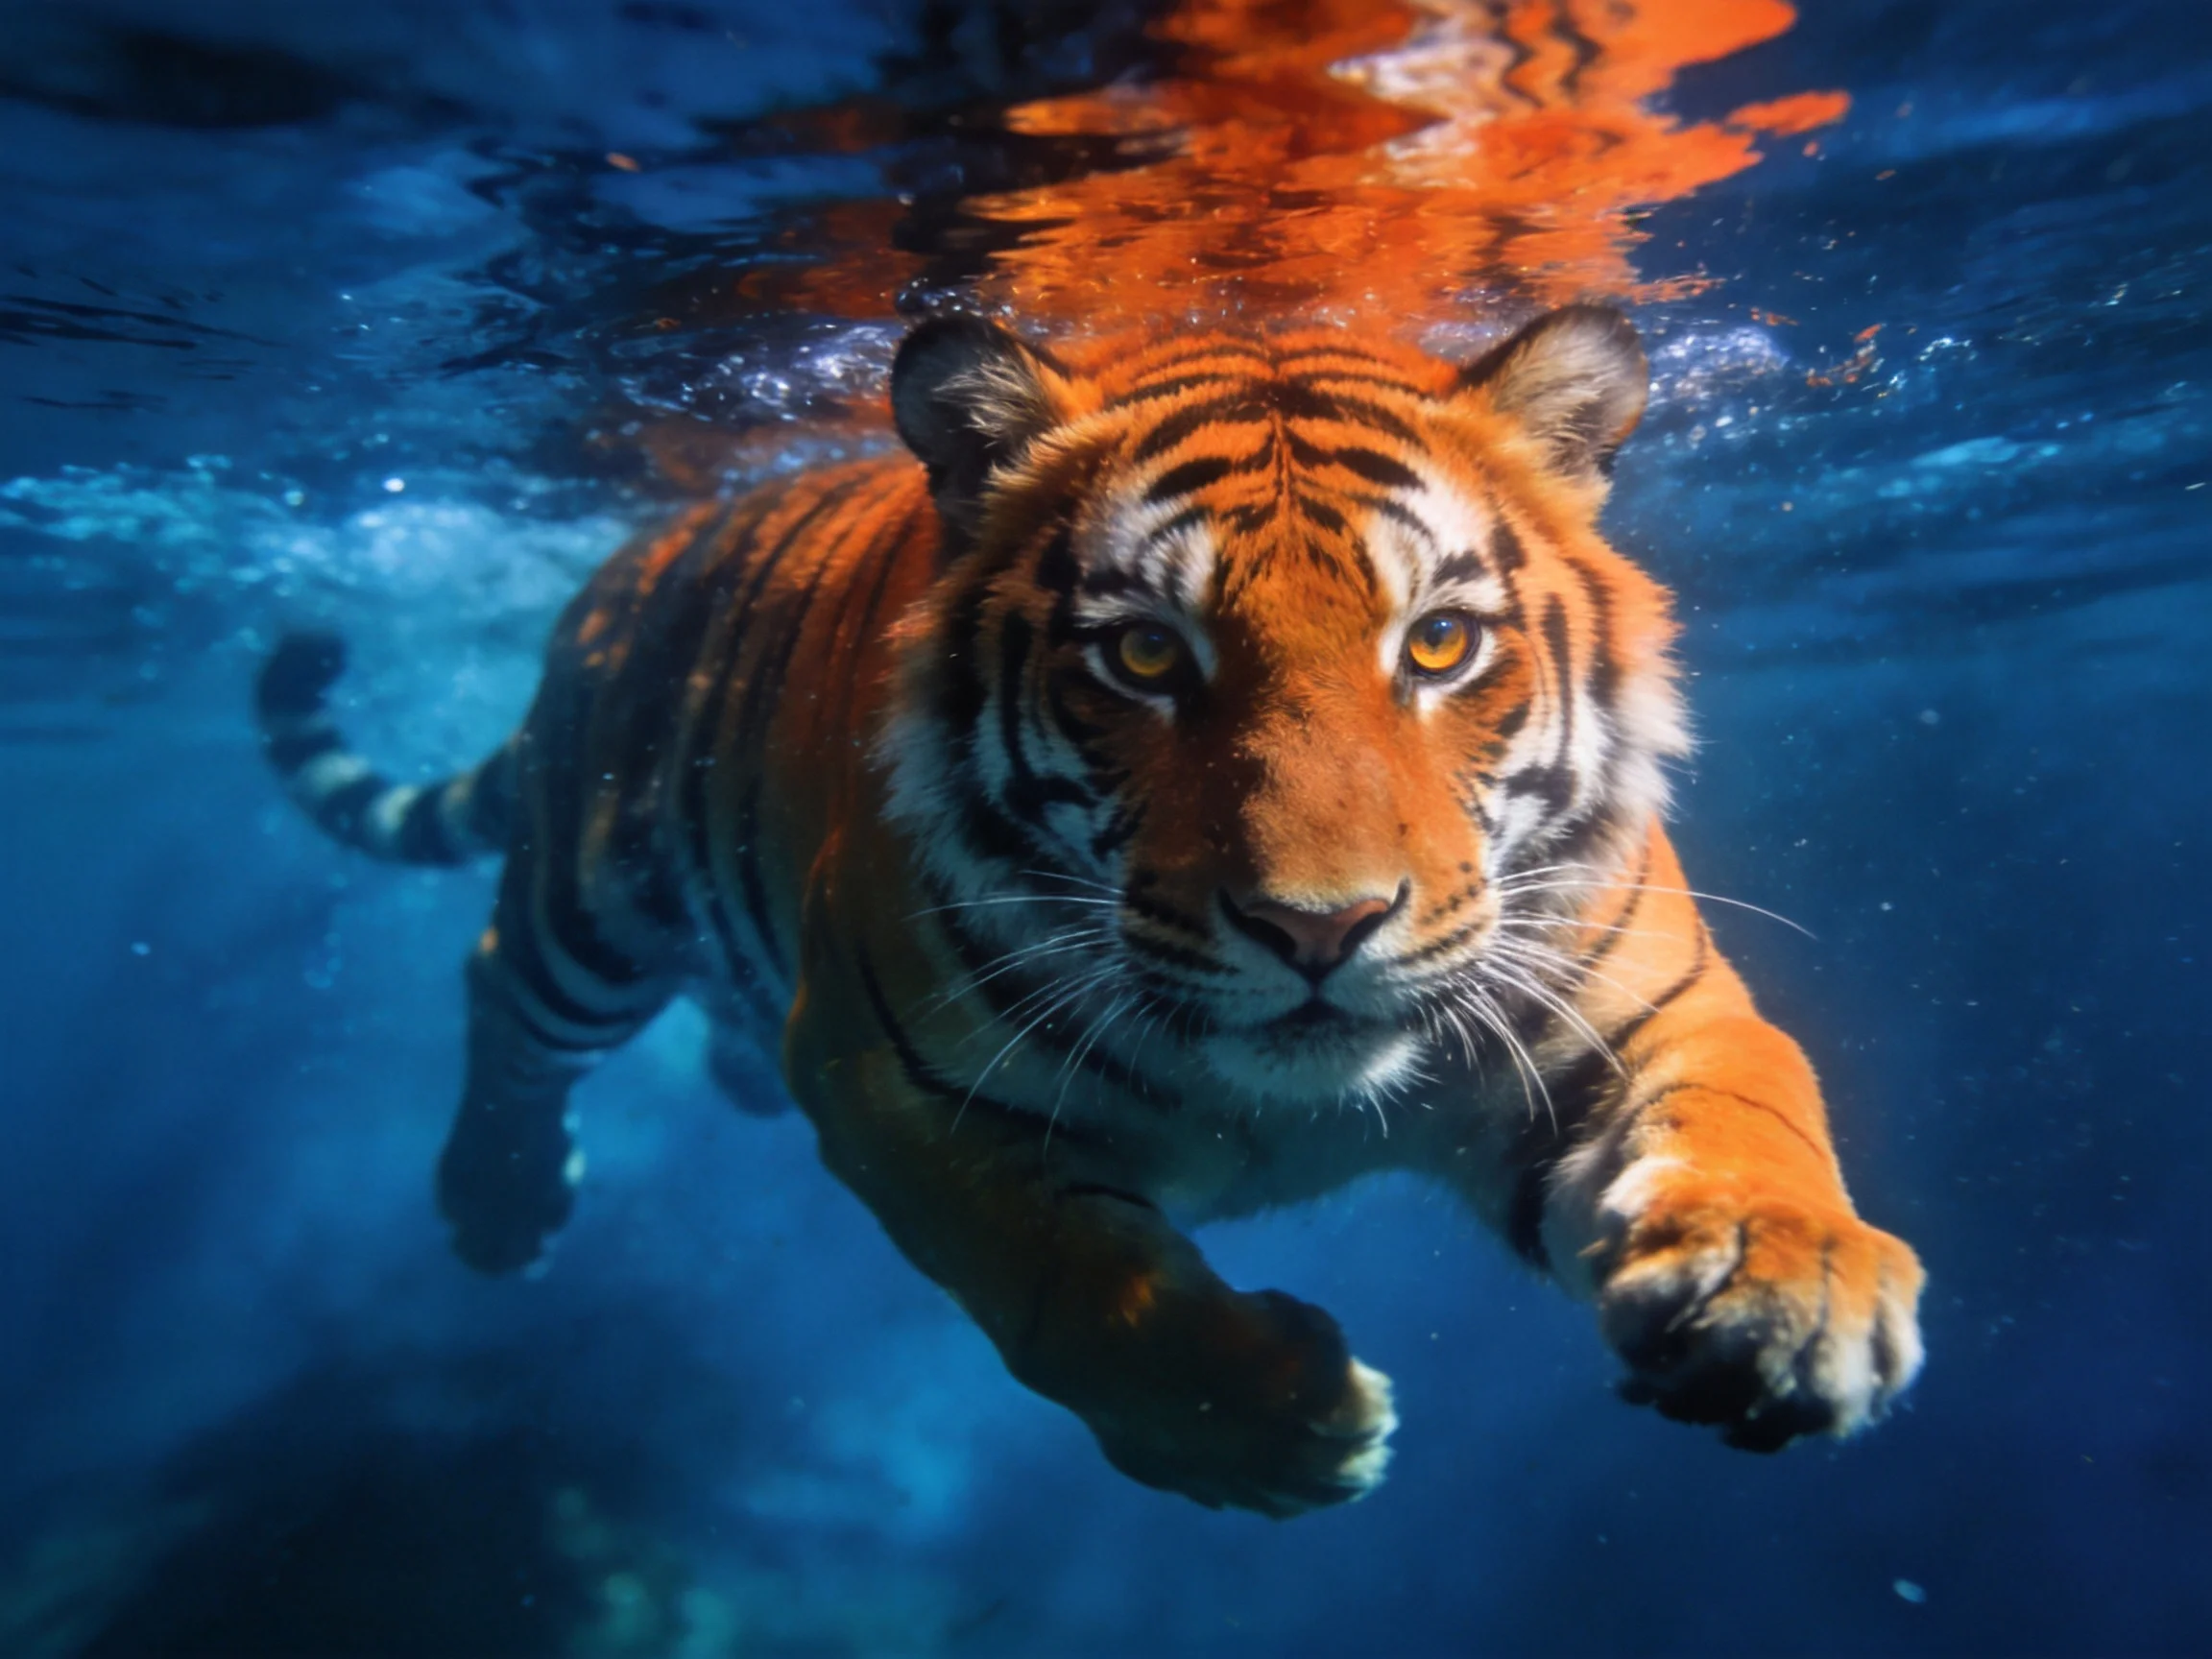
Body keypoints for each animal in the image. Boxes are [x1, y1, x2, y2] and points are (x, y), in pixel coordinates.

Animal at [257, 306, 1925, 1516]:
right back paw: (496, 1206)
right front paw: (1277, 1427)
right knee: (498, 984)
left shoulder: (1640, 1005)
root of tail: (654, 540)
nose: (1320, 929)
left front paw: (1789, 1291)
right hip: (592, 893)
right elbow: (1070, 1288)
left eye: (1440, 645)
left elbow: (1755, 1106)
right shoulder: (886, 1084)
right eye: (1144, 657)